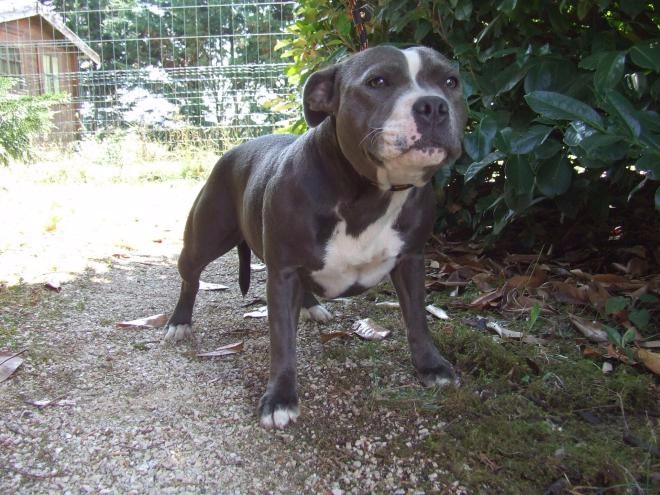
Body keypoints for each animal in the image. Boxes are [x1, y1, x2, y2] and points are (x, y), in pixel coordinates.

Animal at [164, 45, 467, 428]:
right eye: (378, 81)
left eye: (450, 82)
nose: (433, 105)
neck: (369, 193)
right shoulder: (283, 273)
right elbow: (282, 340)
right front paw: (280, 398)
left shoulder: (411, 260)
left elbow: (417, 318)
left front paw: (431, 366)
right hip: (203, 239)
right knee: (190, 277)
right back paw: (179, 322)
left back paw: (312, 307)